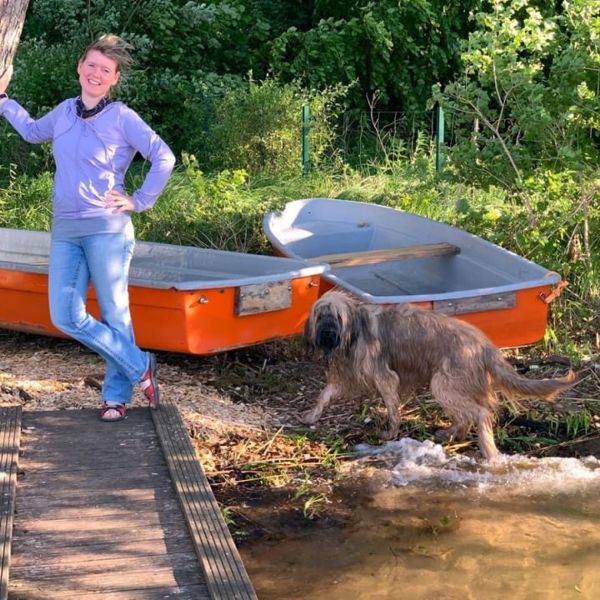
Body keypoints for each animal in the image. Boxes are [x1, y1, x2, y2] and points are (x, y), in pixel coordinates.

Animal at [302, 290, 579, 460]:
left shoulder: (385, 378)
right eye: (320, 314)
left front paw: (390, 433)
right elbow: (325, 394)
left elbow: (392, 409)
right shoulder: (347, 376)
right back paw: (450, 433)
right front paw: (312, 415)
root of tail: (485, 346)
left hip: (443, 383)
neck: (354, 329)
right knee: (466, 416)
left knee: (479, 413)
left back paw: (486, 448)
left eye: (336, 316)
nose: (327, 333)